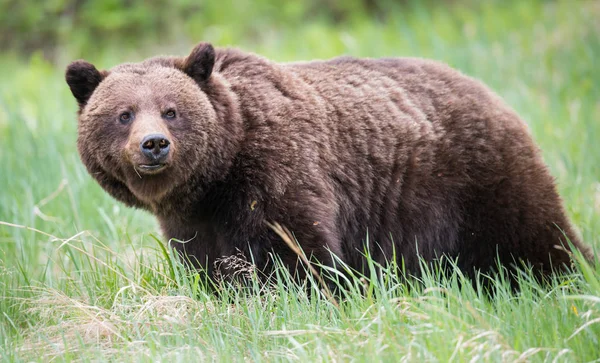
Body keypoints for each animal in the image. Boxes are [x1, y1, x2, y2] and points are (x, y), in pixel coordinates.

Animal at [68, 42, 592, 284]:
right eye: (124, 114)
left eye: (171, 110)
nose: (154, 145)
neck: (216, 177)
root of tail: (488, 92)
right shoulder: (193, 220)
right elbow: (207, 265)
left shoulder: (276, 174)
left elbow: (299, 253)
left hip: (476, 178)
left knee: (537, 236)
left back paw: (570, 275)